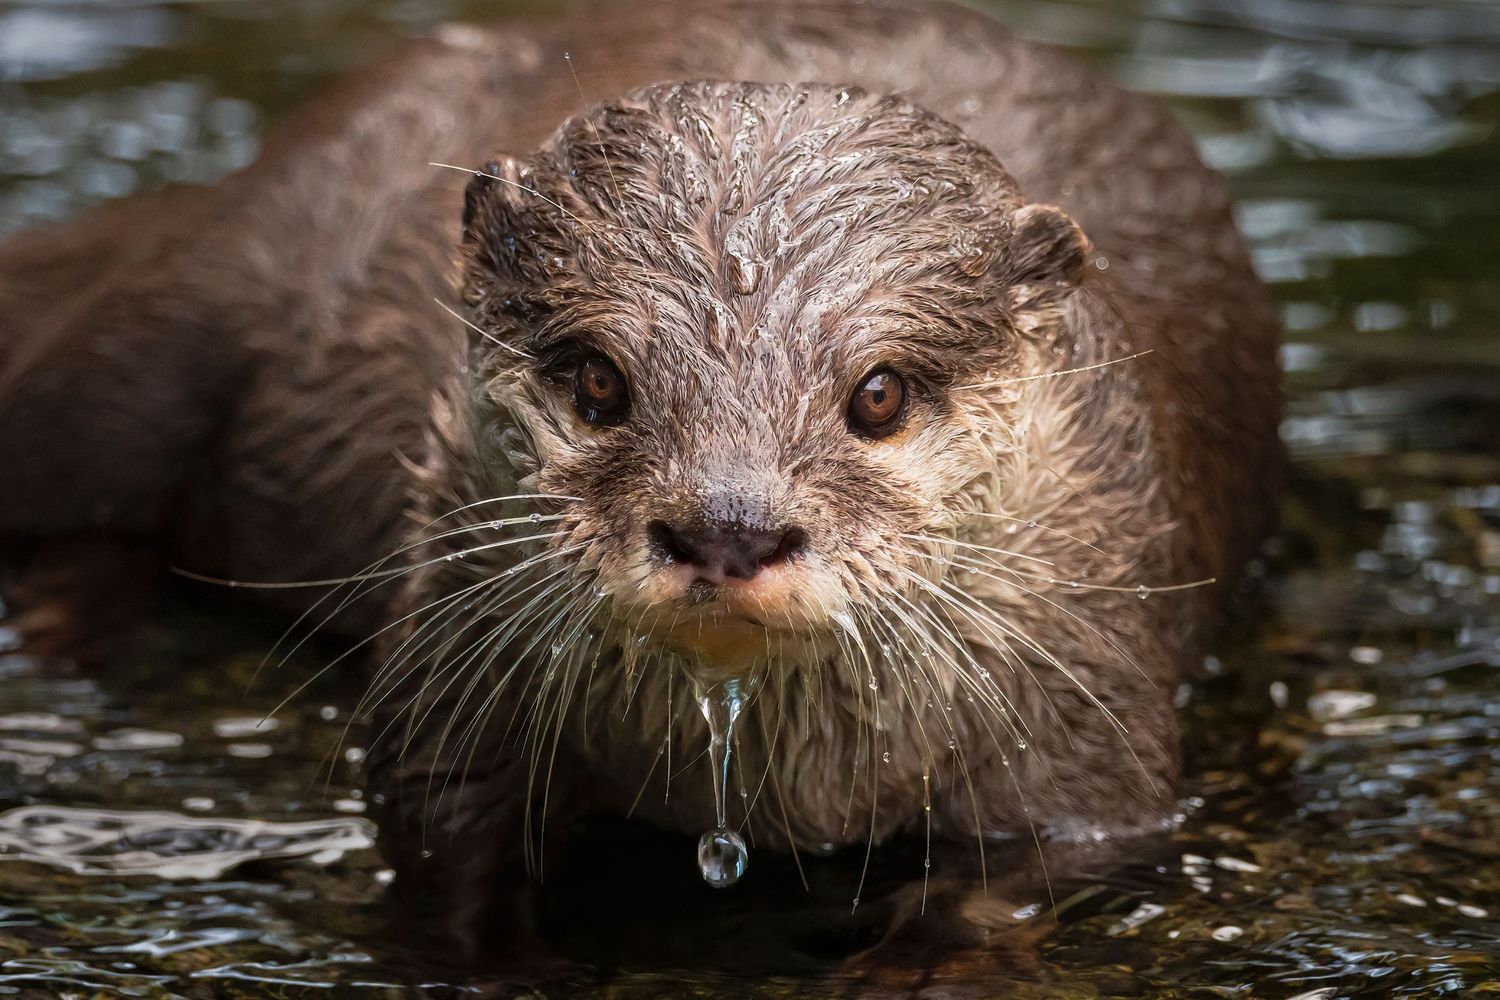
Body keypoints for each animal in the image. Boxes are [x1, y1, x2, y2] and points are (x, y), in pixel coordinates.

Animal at [0, 0, 1280, 966]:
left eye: (877, 393)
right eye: (600, 379)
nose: (728, 524)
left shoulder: (1090, 720)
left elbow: (1023, 876)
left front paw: (913, 964)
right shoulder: (448, 669)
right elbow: (438, 834)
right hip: (182, 320)